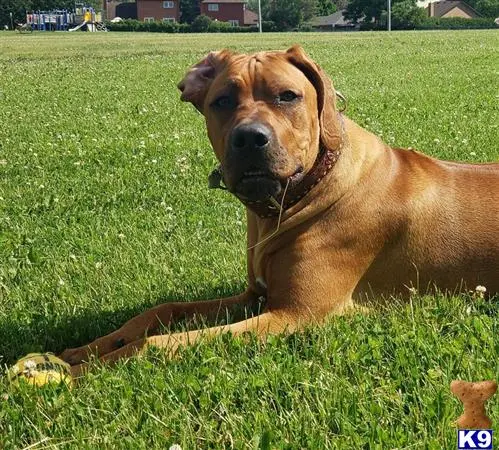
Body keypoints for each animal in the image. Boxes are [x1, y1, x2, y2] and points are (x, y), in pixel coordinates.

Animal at [61, 46, 499, 376]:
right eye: (221, 101)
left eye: (288, 96)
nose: (250, 138)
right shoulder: (254, 295)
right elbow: (163, 310)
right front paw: (86, 349)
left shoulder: (294, 314)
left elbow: (152, 346)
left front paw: (80, 372)